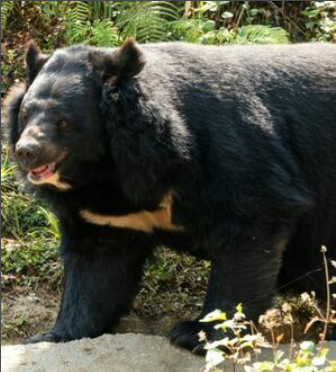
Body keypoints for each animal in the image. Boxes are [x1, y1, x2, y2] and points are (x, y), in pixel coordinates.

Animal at [5, 40, 336, 352]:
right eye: (25, 114)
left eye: (63, 122)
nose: (26, 151)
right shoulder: (107, 215)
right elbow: (95, 270)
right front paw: (55, 335)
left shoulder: (230, 155)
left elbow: (250, 231)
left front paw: (197, 334)